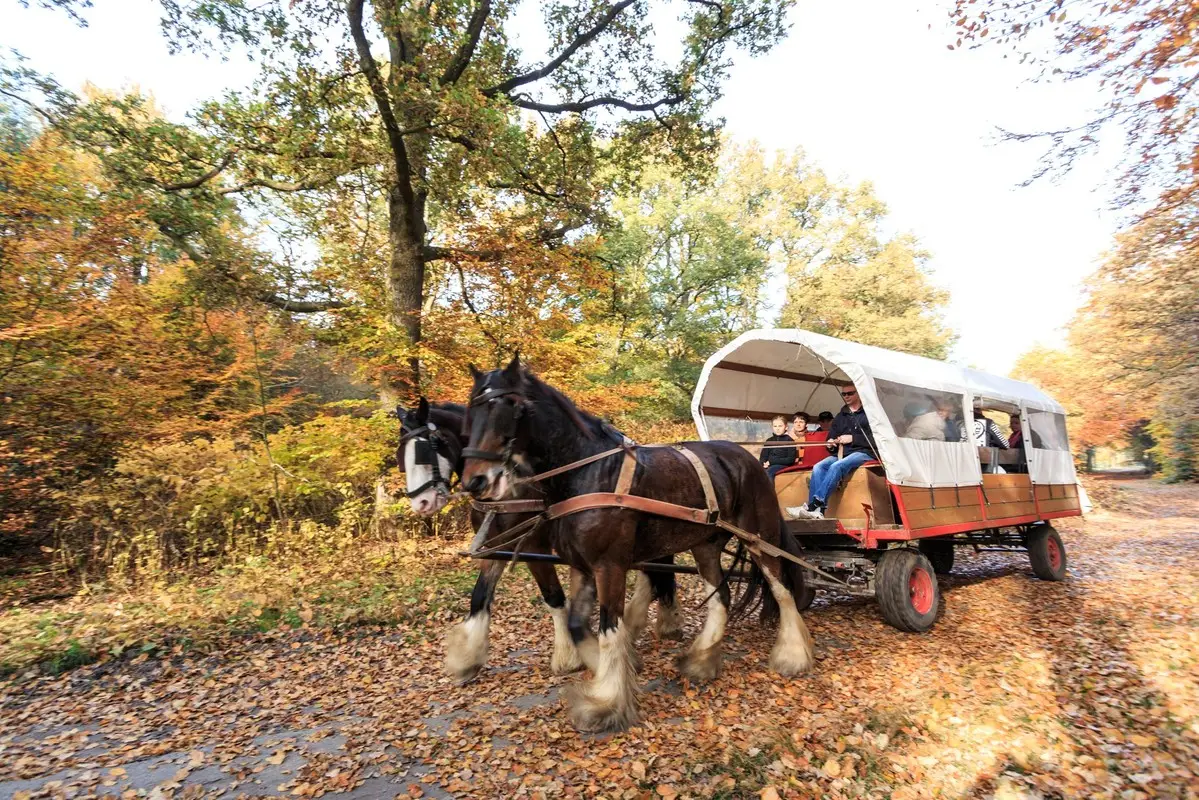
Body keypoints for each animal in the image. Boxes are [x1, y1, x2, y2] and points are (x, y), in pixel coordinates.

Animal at [398, 398, 685, 686]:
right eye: (401, 455)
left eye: (428, 448)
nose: (421, 503)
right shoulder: (495, 548)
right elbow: (479, 597)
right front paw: (466, 661)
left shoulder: (533, 547)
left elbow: (554, 597)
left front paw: (568, 657)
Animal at [458, 357, 815, 734]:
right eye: (472, 409)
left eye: (508, 406)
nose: (475, 481)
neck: (590, 473)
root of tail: (748, 458)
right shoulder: (581, 566)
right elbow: (576, 624)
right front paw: (621, 669)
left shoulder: (609, 566)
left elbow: (609, 628)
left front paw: (606, 701)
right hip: (705, 544)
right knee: (722, 597)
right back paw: (701, 662)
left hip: (760, 539)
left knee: (782, 590)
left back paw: (792, 656)